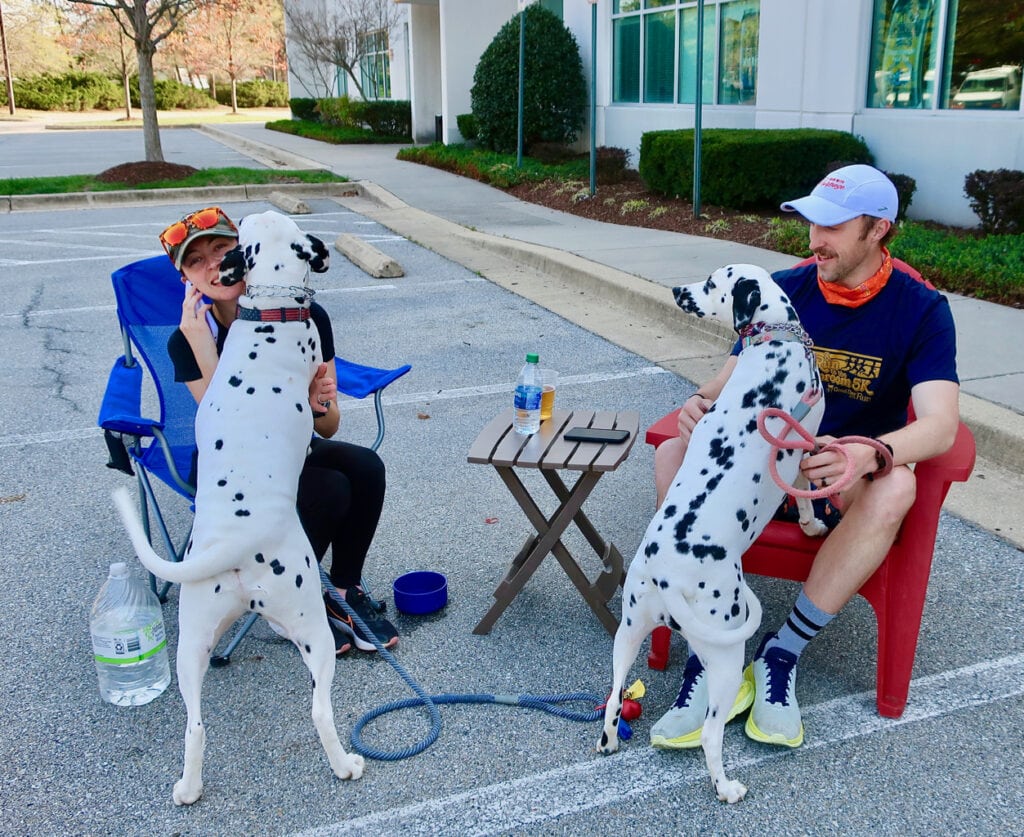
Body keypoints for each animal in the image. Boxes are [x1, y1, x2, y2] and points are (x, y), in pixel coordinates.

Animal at [113, 206, 364, 803]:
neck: (270, 312)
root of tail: (239, 543)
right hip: (314, 629)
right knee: (319, 711)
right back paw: (345, 765)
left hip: (191, 646)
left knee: (195, 726)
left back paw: (188, 787)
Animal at [598, 264, 827, 799]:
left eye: (709, 282)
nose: (676, 290)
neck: (775, 344)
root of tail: (665, 577)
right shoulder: (807, 447)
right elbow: (807, 490)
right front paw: (811, 523)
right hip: (725, 655)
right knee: (710, 734)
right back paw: (726, 787)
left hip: (628, 632)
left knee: (615, 696)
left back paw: (609, 741)